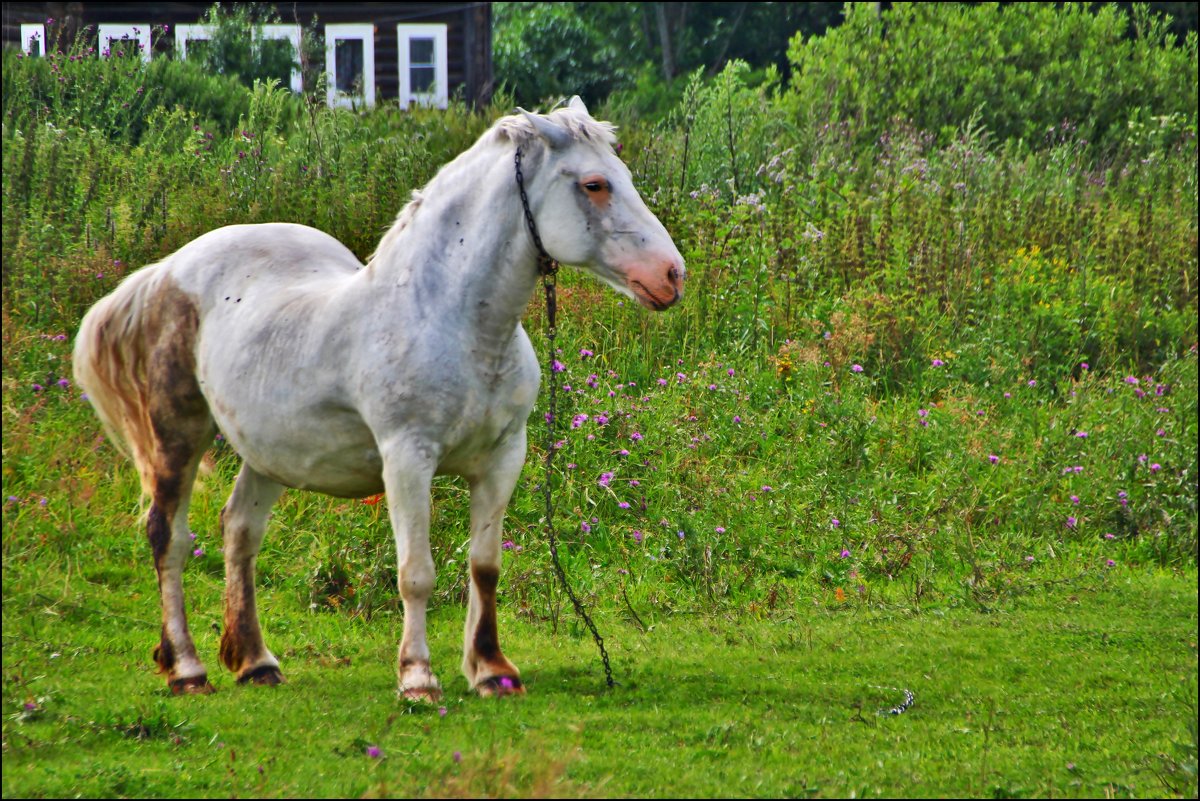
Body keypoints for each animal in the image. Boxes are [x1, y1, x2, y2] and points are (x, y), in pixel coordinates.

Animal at [77, 94, 686, 695]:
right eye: (594, 184)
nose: (671, 275)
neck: (452, 320)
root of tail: (170, 268)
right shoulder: (407, 457)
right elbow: (416, 573)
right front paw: (417, 677)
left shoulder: (503, 458)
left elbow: (485, 566)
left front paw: (491, 669)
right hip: (177, 433)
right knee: (169, 538)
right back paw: (186, 668)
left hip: (269, 452)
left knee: (240, 532)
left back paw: (255, 661)